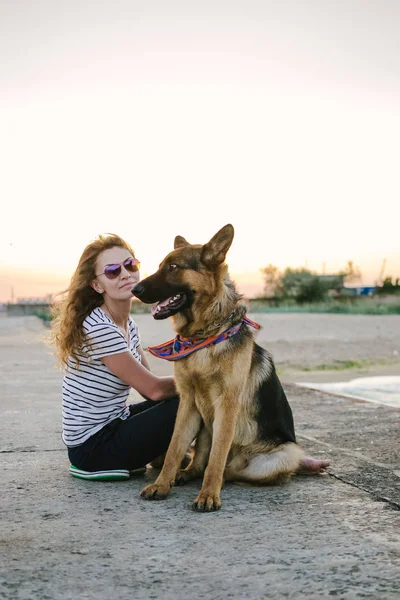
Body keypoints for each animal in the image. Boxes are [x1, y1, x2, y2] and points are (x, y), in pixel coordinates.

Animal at [133, 225, 324, 510]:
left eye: (173, 267)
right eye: (161, 266)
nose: (135, 288)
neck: (203, 338)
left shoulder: (227, 405)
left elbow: (217, 455)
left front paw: (208, 494)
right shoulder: (187, 403)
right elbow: (174, 448)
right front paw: (162, 484)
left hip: (284, 454)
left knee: (232, 468)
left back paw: (215, 478)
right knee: (202, 455)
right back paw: (187, 472)